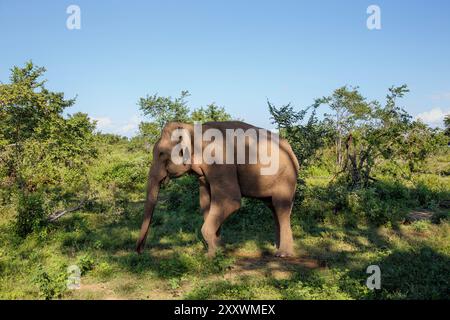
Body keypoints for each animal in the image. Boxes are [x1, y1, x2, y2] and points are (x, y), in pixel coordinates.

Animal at [136, 120, 298, 258]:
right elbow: (206, 203)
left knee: (280, 207)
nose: (140, 251)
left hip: (286, 177)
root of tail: (291, 150)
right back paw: (275, 247)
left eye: (161, 154)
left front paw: (210, 257)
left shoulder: (220, 160)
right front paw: (218, 251)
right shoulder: (204, 175)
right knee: (273, 207)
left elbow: (230, 201)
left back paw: (283, 254)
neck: (192, 128)